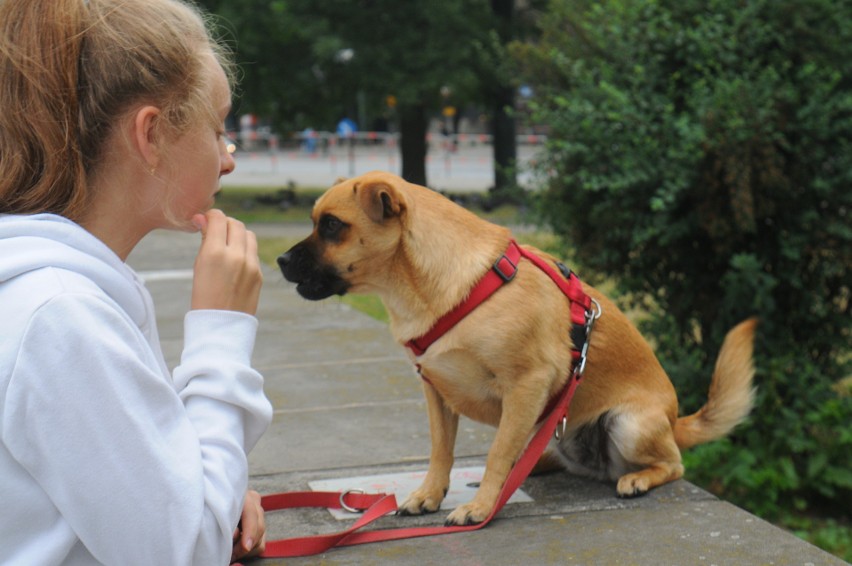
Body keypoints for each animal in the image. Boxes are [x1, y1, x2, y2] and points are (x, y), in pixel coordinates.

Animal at [280, 170, 760, 528]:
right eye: (317, 221)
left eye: (332, 225)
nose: (282, 261)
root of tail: (676, 420)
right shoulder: (436, 392)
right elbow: (441, 451)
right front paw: (430, 494)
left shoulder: (525, 385)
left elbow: (495, 454)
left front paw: (482, 508)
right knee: (545, 456)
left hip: (629, 425)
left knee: (674, 464)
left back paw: (638, 478)